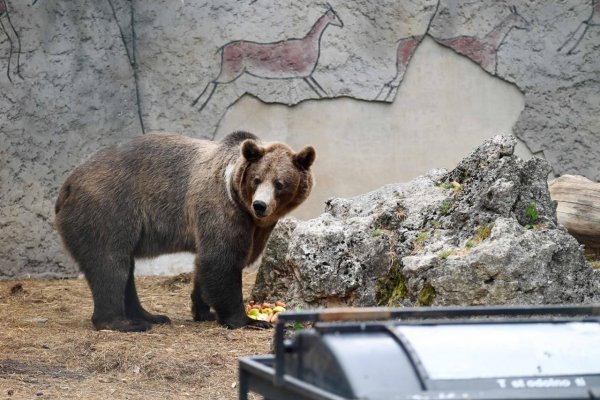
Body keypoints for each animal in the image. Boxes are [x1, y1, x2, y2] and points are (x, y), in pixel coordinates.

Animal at [54, 131, 316, 332]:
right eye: (257, 179)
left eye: (280, 183)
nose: (260, 205)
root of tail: (67, 184)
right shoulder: (222, 209)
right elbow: (221, 260)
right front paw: (245, 319)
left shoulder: (254, 227)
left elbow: (205, 265)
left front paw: (204, 310)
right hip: (108, 210)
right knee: (109, 264)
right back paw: (123, 323)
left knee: (124, 268)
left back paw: (150, 316)